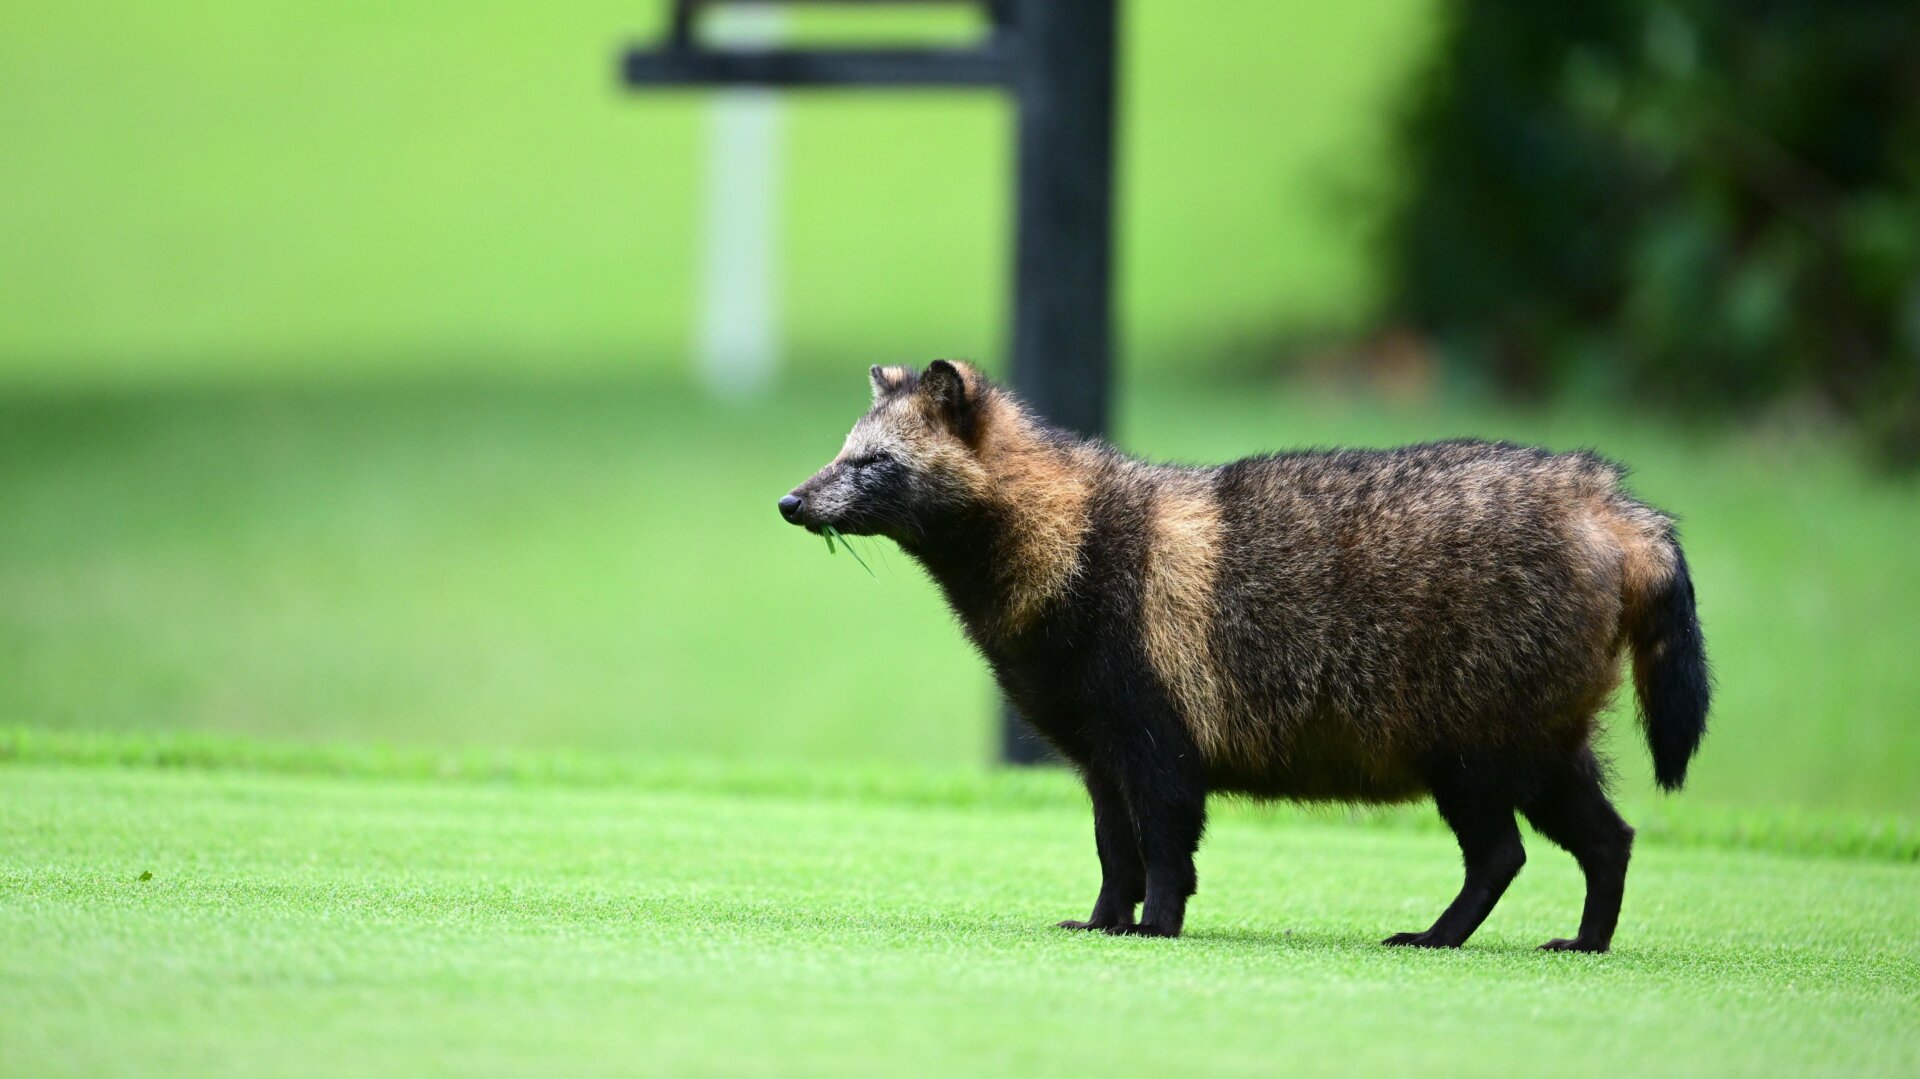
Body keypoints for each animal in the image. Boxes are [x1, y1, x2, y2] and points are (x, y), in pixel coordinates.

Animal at [779, 360, 1710, 952]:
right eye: (840, 451)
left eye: (873, 462)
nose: (791, 500)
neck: (1069, 525)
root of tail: (1603, 500)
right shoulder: (1096, 743)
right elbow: (1112, 842)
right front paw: (1107, 915)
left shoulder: (1153, 711)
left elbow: (1164, 837)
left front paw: (1156, 921)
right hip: (1541, 731)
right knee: (1607, 835)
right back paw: (1587, 935)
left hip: (1474, 724)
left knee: (1500, 852)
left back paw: (1445, 931)